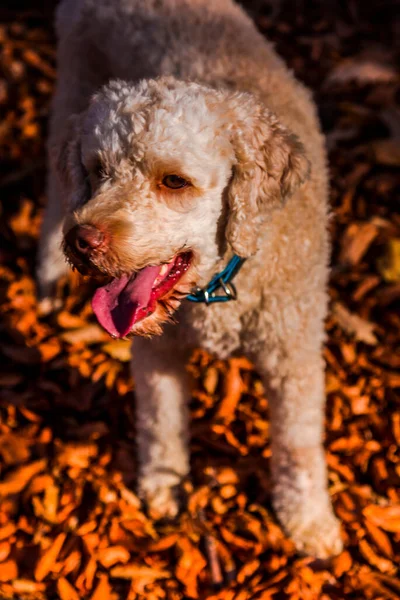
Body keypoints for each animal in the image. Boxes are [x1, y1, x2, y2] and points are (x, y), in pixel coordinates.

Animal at [37, 0, 342, 556]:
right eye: (99, 170)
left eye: (174, 181)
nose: (84, 242)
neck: (217, 289)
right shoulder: (157, 351)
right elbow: (161, 418)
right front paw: (162, 484)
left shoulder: (294, 350)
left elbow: (298, 441)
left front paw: (309, 521)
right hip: (71, 87)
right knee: (54, 194)